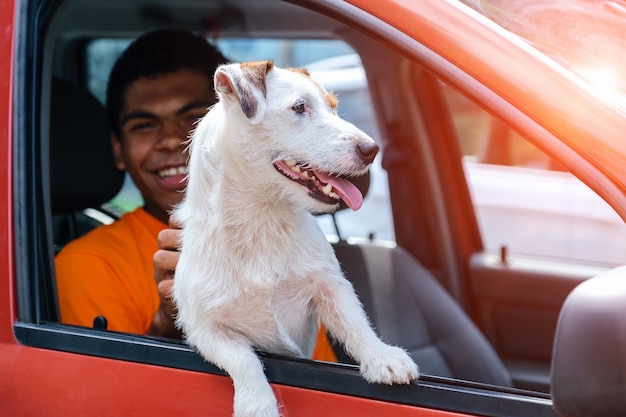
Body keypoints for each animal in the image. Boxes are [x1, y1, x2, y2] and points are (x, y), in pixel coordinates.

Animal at [173, 61, 416, 416]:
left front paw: (381, 356)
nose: (372, 150)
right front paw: (256, 403)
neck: (262, 221)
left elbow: (353, 320)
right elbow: (243, 357)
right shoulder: (205, 329)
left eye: (333, 106)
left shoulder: (329, 284)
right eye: (300, 108)